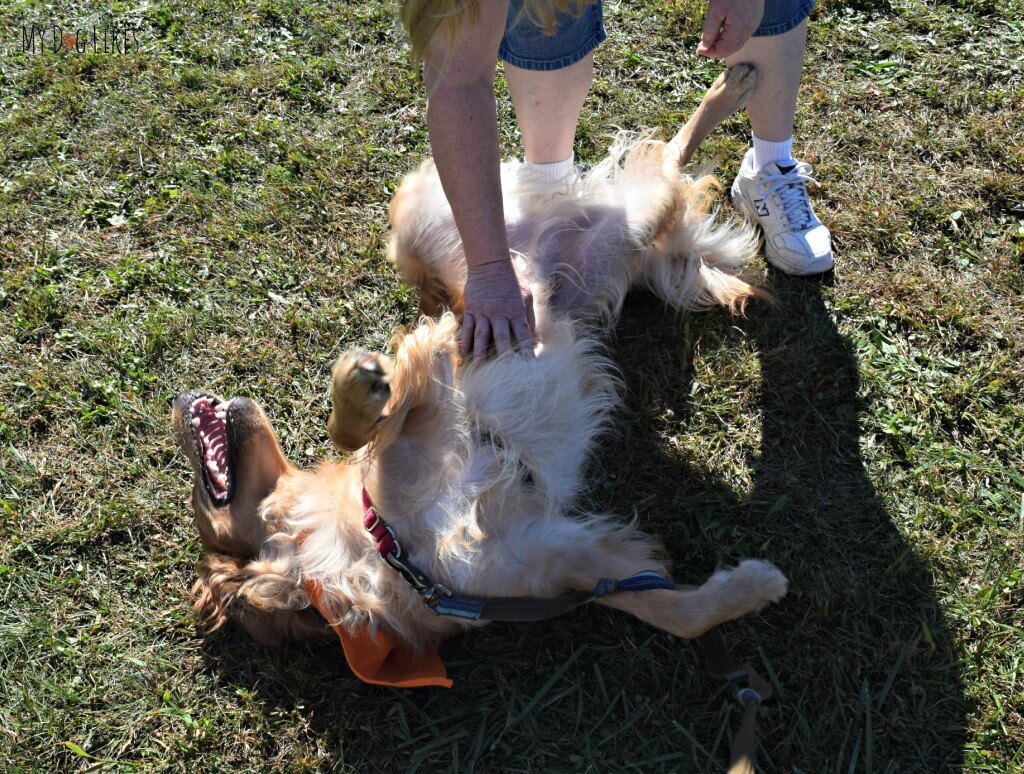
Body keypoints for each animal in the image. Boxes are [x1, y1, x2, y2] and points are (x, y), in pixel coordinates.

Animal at [172, 65, 786, 659]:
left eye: (201, 507)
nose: (180, 397)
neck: (391, 550)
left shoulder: (430, 391)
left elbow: (356, 428)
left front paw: (357, 385)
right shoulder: (558, 562)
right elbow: (670, 611)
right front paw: (753, 587)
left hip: (445, 229)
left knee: (670, 154)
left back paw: (734, 82)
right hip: (624, 236)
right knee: (665, 176)